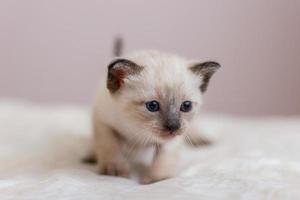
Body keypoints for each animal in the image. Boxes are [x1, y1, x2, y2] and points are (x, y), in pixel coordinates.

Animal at [89, 41, 220, 184]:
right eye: (152, 106)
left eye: (186, 106)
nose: (173, 127)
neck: (137, 129)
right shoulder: (103, 122)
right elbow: (110, 147)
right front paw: (116, 172)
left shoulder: (172, 140)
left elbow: (163, 161)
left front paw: (153, 181)